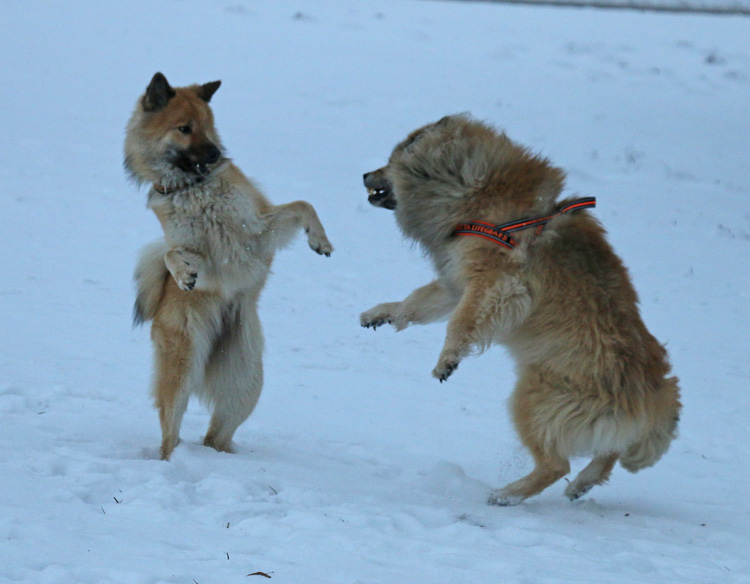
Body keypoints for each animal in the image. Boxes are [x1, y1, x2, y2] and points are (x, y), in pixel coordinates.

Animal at [125, 72, 332, 460]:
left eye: (209, 126)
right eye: (185, 128)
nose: (217, 154)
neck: (193, 187)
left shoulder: (256, 236)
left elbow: (303, 204)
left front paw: (320, 240)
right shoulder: (210, 261)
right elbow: (169, 254)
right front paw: (183, 275)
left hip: (246, 383)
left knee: (215, 435)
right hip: (182, 368)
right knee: (170, 433)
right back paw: (171, 461)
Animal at [362, 115, 684, 506]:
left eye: (389, 163)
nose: (364, 175)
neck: (477, 191)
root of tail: (652, 398)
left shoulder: (497, 284)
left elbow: (460, 323)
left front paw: (447, 361)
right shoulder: (457, 283)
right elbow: (415, 303)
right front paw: (380, 314)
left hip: (533, 397)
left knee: (556, 464)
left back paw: (508, 494)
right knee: (607, 453)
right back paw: (581, 485)